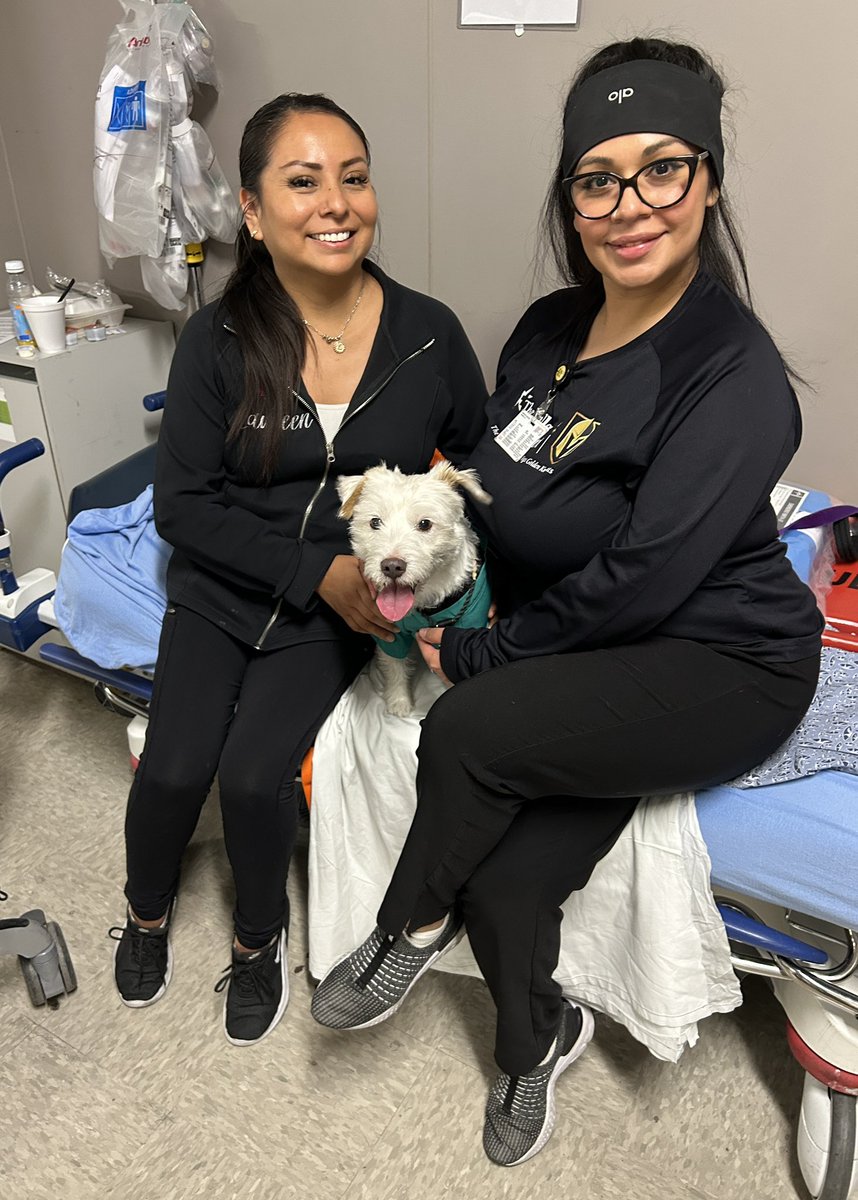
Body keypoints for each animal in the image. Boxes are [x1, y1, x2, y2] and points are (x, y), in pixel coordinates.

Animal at [338, 460, 494, 715]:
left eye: (425, 523)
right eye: (374, 522)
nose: (392, 566)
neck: (423, 605)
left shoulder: (467, 624)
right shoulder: (390, 633)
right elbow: (395, 666)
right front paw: (399, 700)